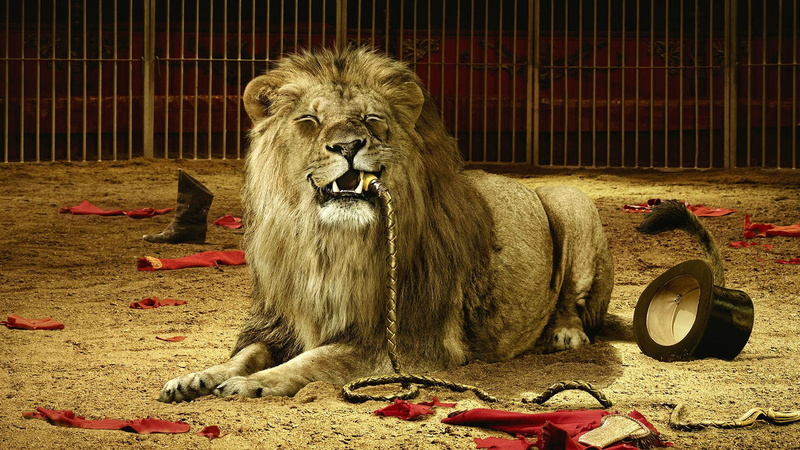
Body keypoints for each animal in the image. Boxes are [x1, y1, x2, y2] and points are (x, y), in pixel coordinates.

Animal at [159, 47, 613, 402]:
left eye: (371, 118)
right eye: (309, 120)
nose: (348, 145)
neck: (328, 245)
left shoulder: (408, 342)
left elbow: (315, 360)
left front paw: (254, 383)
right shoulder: (278, 322)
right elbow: (244, 355)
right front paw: (197, 377)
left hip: (570, 200)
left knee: (573, 300)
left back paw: (565, 335)